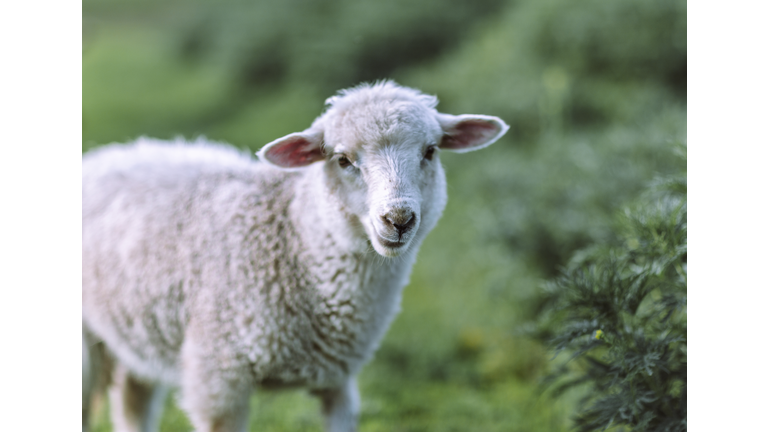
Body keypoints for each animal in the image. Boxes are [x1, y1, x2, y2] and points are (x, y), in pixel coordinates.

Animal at [81, 79, 508, 430]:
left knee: (132, 402)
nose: (398, 219)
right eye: (342, 159)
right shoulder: (217, 378)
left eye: (430, 151)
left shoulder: (339, 384)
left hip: (136, 335)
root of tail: (109, 152)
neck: (294, 242)